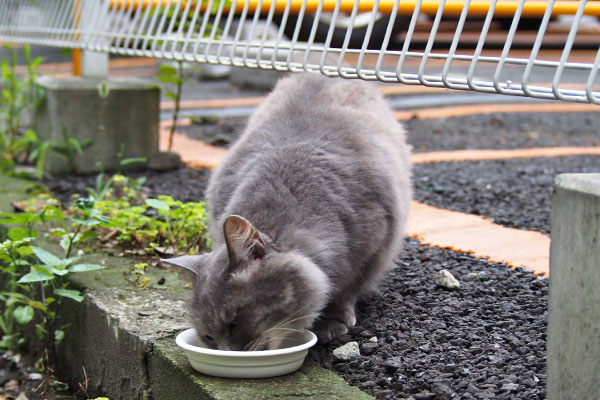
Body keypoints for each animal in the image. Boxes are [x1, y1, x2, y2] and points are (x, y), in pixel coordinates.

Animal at [166, 72, 414, 350]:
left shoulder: (373, 245)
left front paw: (332, 321)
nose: (227, 353)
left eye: (235, 322)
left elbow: (346, 288)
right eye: (208, 337)